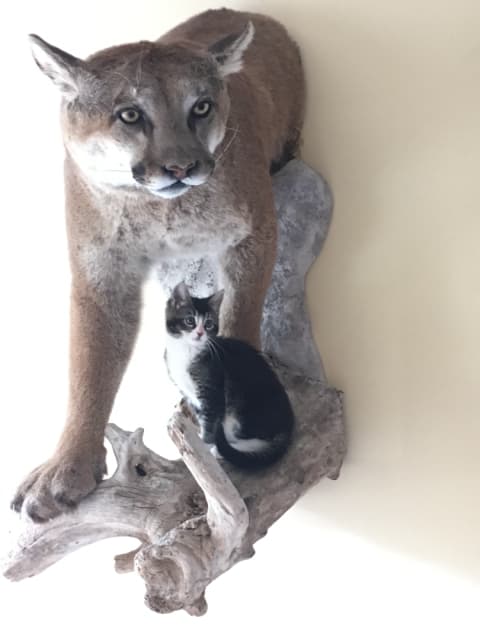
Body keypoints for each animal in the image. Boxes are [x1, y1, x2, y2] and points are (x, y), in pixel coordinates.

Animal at [165, 282, 294, 469]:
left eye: (209, 324)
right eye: (189, 321)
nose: (200, 333)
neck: (186, 352)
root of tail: (287, 426)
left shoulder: (212, 391)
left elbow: (210, 423)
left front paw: (204, 446)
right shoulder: (189, 394)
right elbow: (202, 418)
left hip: (244, 408)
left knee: (257, 439)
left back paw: (221, 451)